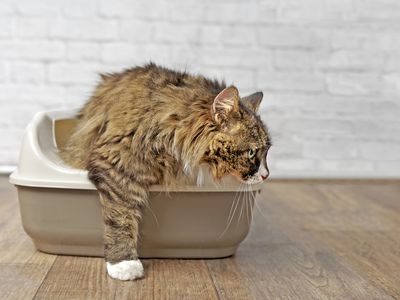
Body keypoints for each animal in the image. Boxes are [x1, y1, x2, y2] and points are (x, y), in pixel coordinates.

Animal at [60, 63, 272, 282]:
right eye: (251, 153)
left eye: (267, 152)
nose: (266, 174)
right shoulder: (116, 165)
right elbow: (121, 218)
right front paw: (124, 263)